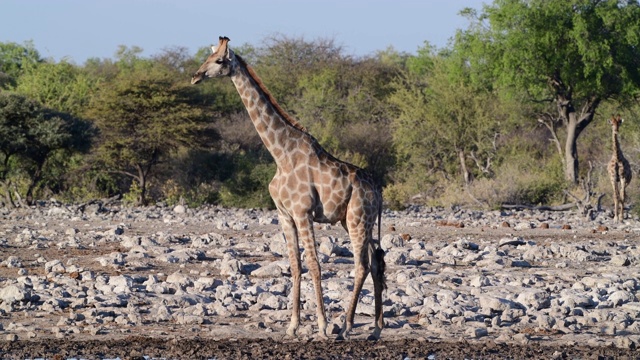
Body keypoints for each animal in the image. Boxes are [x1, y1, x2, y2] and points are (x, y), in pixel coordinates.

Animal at [191, 35, 384, 340]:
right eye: (207, 57)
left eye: (219, 60)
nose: (196, 76)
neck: (280, 154)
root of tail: (378, 189)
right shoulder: (284, 215)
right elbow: (295, 265)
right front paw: (292, 326)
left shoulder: (303, 213)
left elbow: (315, 264)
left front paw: (322, 325)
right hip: (352, 220)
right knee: (375, 263)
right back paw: (375, 330)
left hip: (358, 218)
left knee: (362, 265)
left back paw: (346, 326)